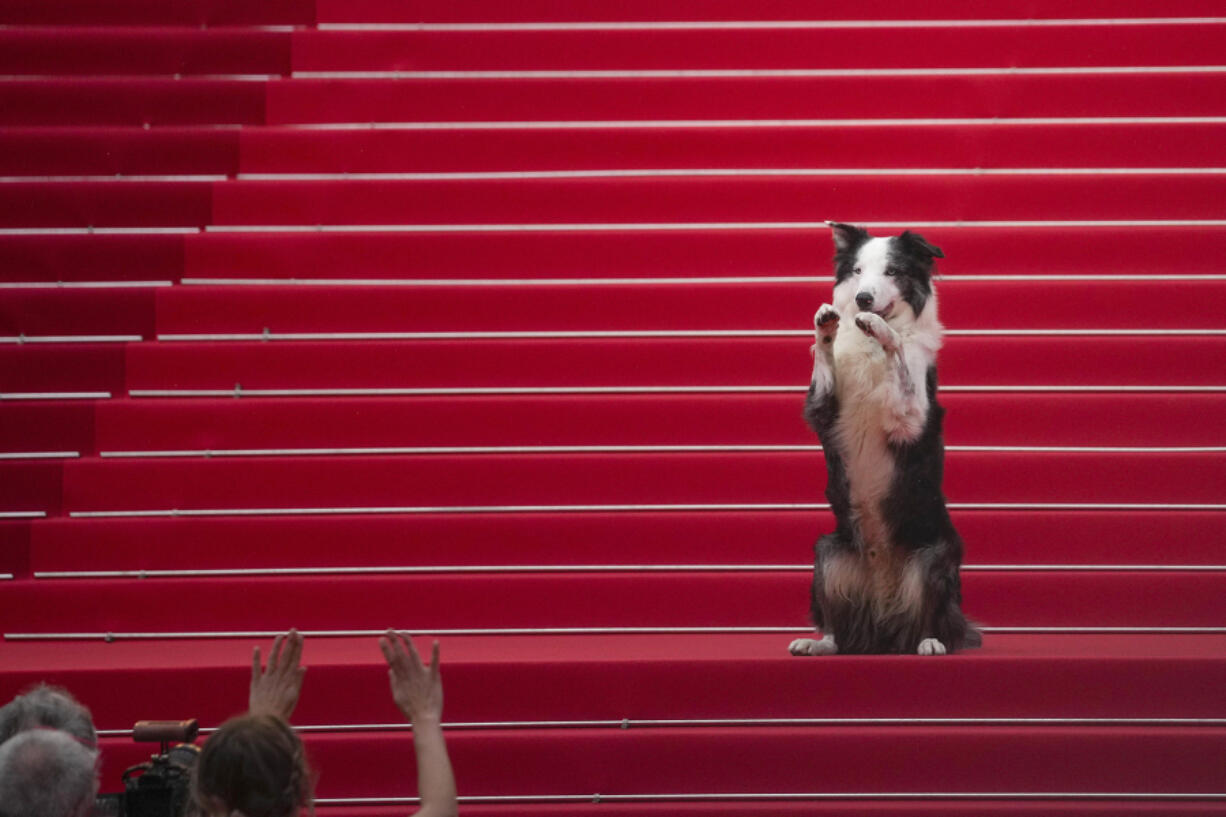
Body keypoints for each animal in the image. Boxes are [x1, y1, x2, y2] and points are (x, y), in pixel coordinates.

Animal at [789, 223, 980, 657]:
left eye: (893, 271)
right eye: (857, 271)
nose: (863, 298)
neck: (867, 349)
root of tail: (883, 608)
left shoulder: (909, 418)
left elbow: (901, 358)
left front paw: (885, 330)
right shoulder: (823, 409)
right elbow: (823, 362)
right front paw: (824, 326)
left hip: (933, 557)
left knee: (932, 619)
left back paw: (930, 642)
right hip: (828, 552)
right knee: (839, 630)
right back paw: (819, 644)